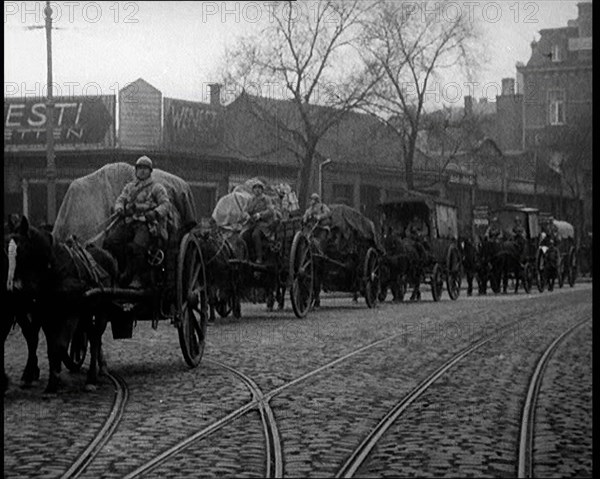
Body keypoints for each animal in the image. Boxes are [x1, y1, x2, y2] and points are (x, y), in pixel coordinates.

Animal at [7, 218, 118, 394]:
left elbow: (59, 345)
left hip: (101, 311)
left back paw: (92, 379)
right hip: (86, 313)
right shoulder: (46, 314)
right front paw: (51, 380)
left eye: (22, 250)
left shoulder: (71, 312)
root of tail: (109, 256)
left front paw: (54, 382)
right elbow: (50, 347)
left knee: (95, 339)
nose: (13, 289)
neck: (54, 269)